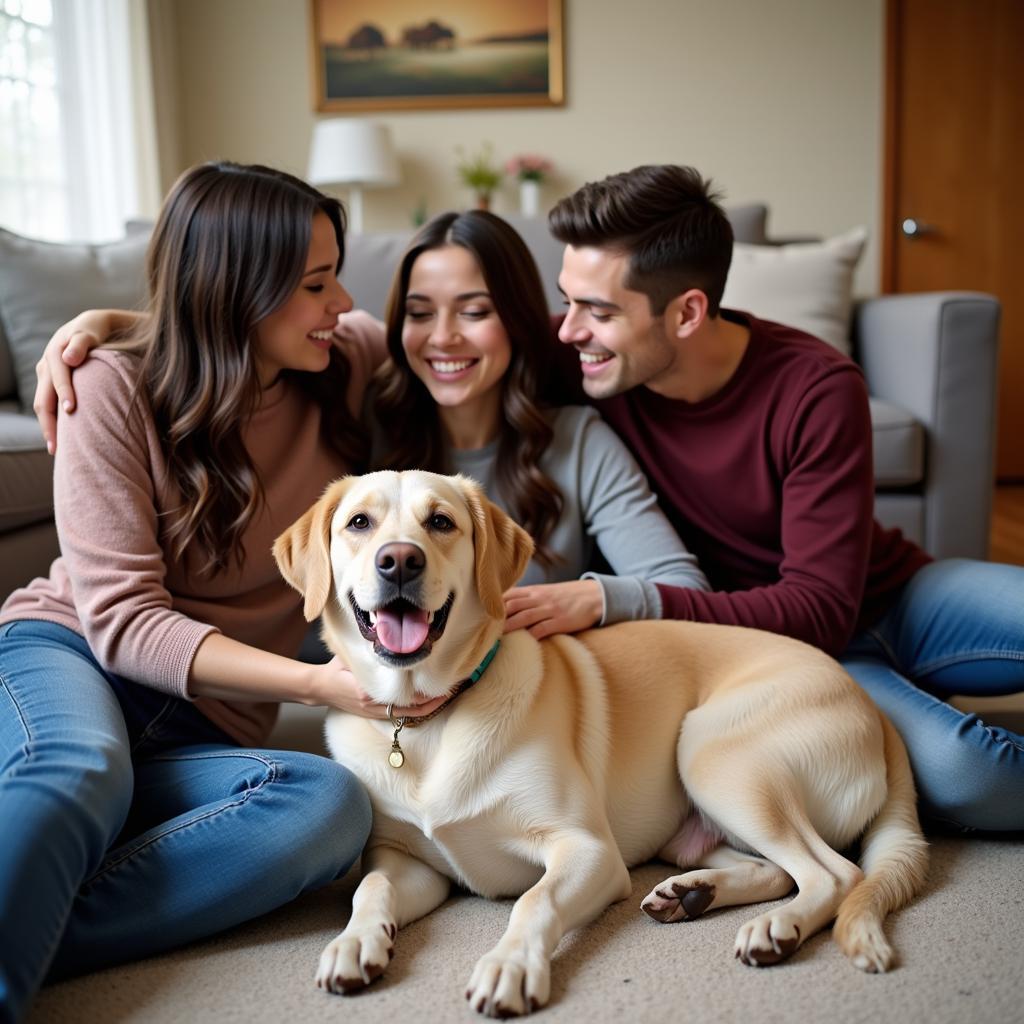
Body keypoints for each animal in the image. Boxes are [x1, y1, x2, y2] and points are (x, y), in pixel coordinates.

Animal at [272, 468, 929, 1015]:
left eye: (441, 523)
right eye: (360, 523)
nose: (400, 561)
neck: (426, 719)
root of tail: (872, 706)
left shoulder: (586, 849)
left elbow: (532, 902)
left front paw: (509, 966)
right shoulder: (405, 860)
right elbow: (371, 887)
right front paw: (356, 942)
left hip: (710, 751)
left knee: (833, 874)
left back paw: (776, 928)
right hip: (700, 820)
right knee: (777, 870)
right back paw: (695, 892)